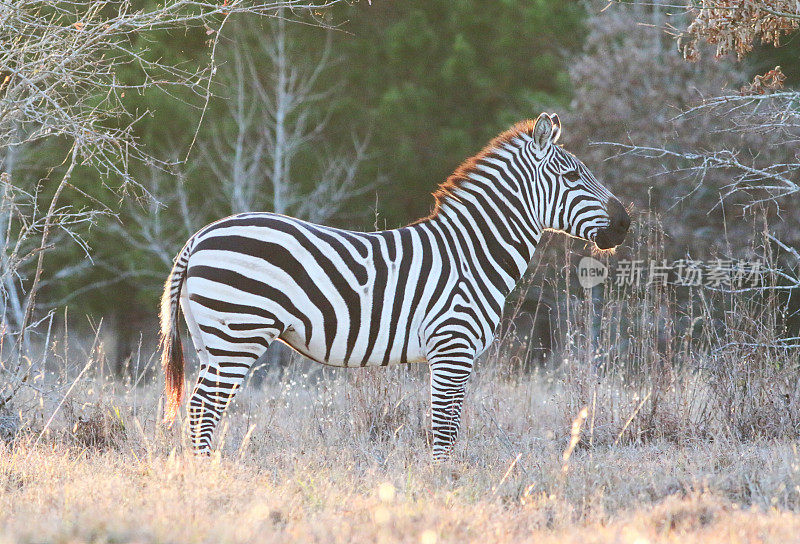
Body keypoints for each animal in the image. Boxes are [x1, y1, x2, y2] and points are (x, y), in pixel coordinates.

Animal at [159, 112, 628, 462]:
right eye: (572, 176)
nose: (625, 222)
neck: (472, 253)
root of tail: (200, 235)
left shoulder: (453, 355)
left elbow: (448, 425)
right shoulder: (452, 348)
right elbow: (445, 429)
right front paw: (442, 486)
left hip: (211, 339)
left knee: (198, 407)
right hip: (238, 333)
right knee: (205, 408)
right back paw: (208, 475)